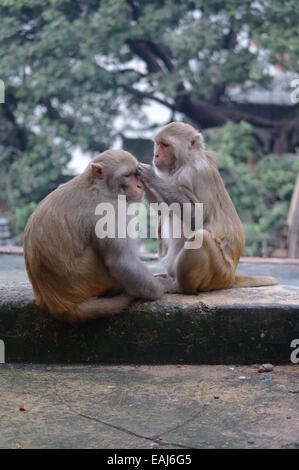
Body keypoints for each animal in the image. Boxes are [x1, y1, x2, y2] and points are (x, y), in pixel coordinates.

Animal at [23, 151, 172, 324]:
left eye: (136, 175)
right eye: (127, 175)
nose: (139, 186)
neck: (99, 187)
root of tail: (60, 307)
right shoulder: (111, 209)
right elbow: (121, 262)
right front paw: (161, 288)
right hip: (90, 279)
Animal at [139, 122, 278, 294]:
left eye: (165, 145)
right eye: (157, 144)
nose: (156, 156)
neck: (184, 163)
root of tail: (231, 277)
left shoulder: (196, 173)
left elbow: (198, 218)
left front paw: (152, 177)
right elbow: (162, 209)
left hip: (218, 274)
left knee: (202, 237)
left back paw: (179, 286)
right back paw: (168, 276)